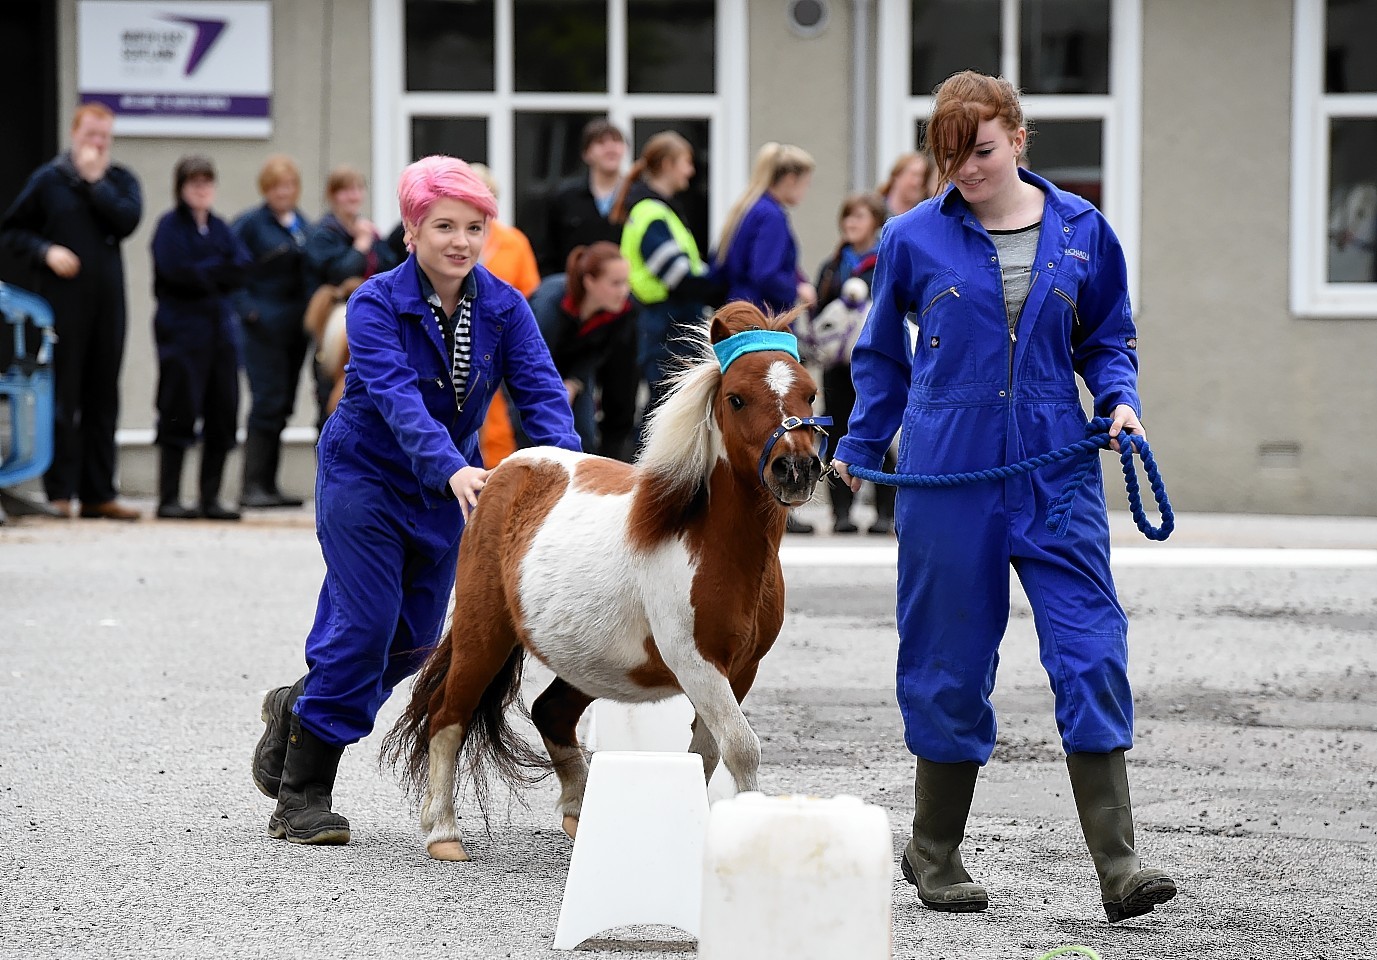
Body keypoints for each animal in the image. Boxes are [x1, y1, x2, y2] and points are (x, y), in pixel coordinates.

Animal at [382, 301, 820, 859]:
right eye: (737, 398)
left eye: (810, 392)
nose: (797, 469)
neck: (709, 542)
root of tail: (497, 474)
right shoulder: (696, 663)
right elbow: (741, 749)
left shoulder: (742, 669)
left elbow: (705, 753)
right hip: (484, 635)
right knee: (447, 715)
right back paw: (443, 832)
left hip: (584, 661)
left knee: (550, 712)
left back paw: (579, 815)